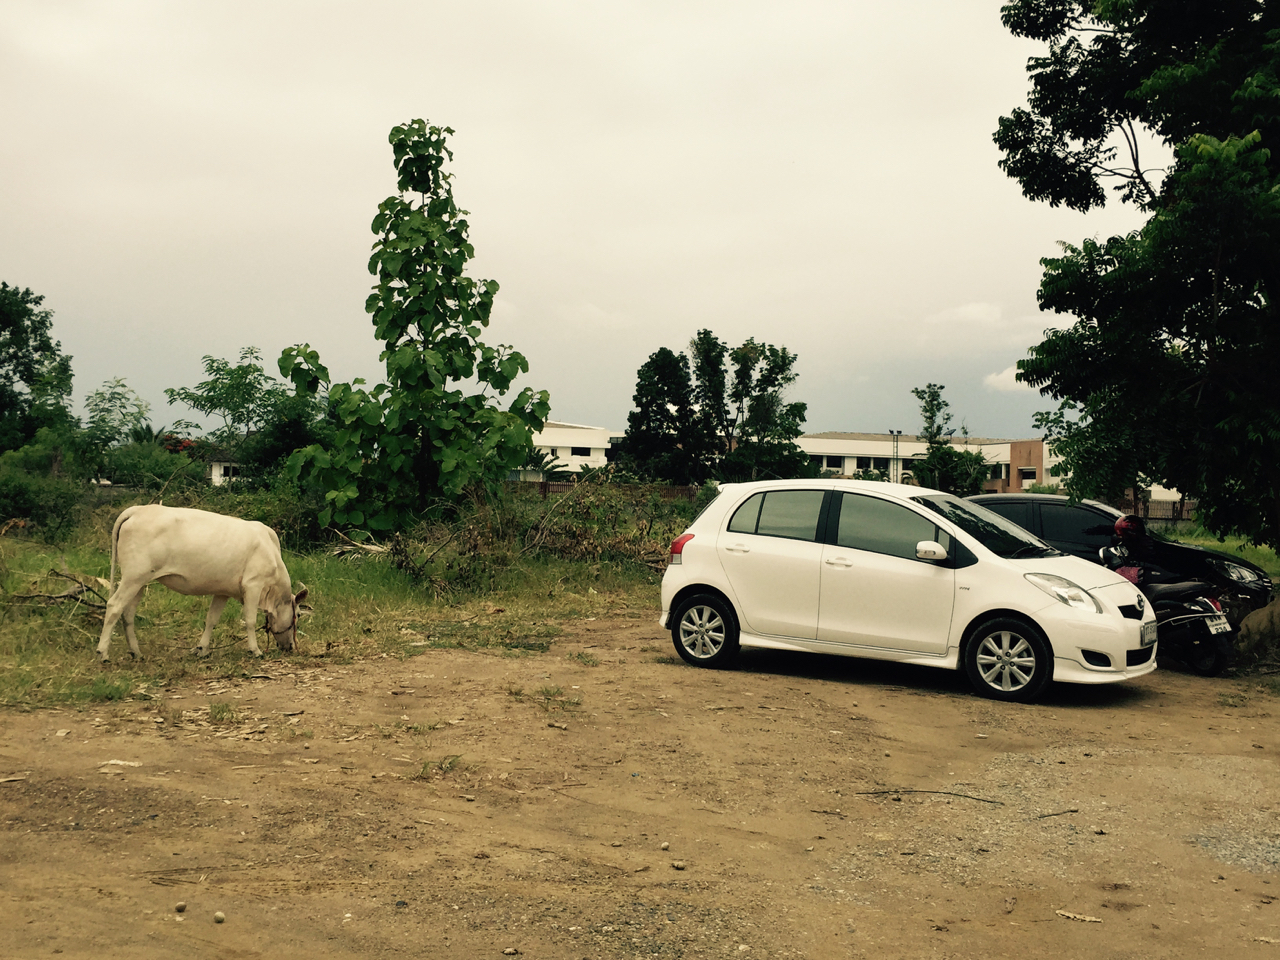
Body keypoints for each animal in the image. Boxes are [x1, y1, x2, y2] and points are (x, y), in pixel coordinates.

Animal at [96, 505, 308, 663]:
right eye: (297, 614)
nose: (290, 647)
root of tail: (137, 510)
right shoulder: (253, 585)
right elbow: (250, 620)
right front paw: (255, 650)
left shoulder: (223, 591)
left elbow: (211, 619)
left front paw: (202, 649)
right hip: (133, 576)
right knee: (114, 606)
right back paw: (103, 653)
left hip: (140, 582)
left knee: (128, 613)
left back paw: (136, 652)